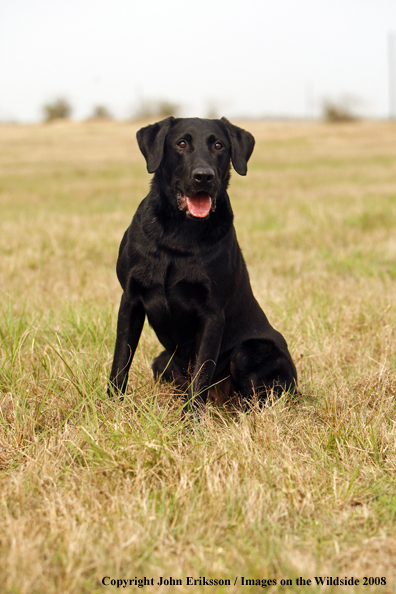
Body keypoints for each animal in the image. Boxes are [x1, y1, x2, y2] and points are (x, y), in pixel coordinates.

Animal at [108, 118, 296, 410]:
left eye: (219, 145)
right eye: (181, 143)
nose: (204, 176)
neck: (178, 234)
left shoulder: (212, 313)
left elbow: (201, 372)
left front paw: (190, 419)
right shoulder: (131, 298)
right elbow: (121, 359)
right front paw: (111, 406)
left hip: (248, 352)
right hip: (162, 361)